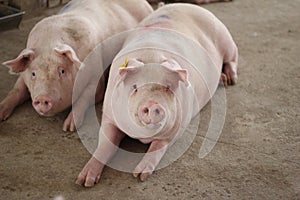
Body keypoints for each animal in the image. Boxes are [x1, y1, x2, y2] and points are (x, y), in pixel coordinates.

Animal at [0, 0, 154, 131]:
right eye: (33, 73)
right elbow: (17, 90)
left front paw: (69, 127)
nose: (43, 98)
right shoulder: (22, 76)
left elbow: (86, 96)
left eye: (62, 71)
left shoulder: (97, 76)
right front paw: (1, 114)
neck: (49, 44)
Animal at [76, 3, 238, 188]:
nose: (152, 104)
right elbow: (105, 144)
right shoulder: (109, 115)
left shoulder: (178, 125)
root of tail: (188, 5)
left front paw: (139, 175)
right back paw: (223, 79)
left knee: (233, 58)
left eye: (168, 87)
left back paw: (230, 79)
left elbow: (159, 146)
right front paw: (84, 182)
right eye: (134, 87)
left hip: (227, 41)